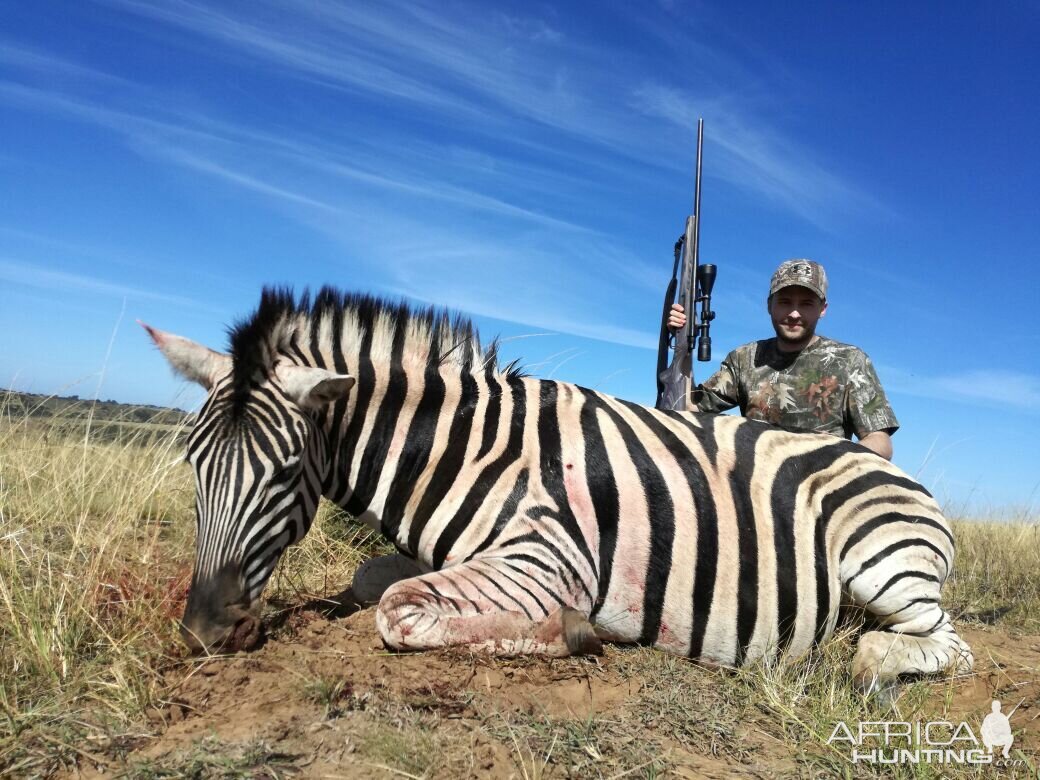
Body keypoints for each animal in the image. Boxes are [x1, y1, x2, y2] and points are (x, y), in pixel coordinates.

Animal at [146, 289, 973, 690]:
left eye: (286, 472)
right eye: (192, 463)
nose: (205, 632)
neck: (468, 449)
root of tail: (901, 475)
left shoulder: (547, 558)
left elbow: (396, 610)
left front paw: (578, 629)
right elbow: (370, 578)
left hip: (883, 565)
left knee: (940, 646)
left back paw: (856, 659)